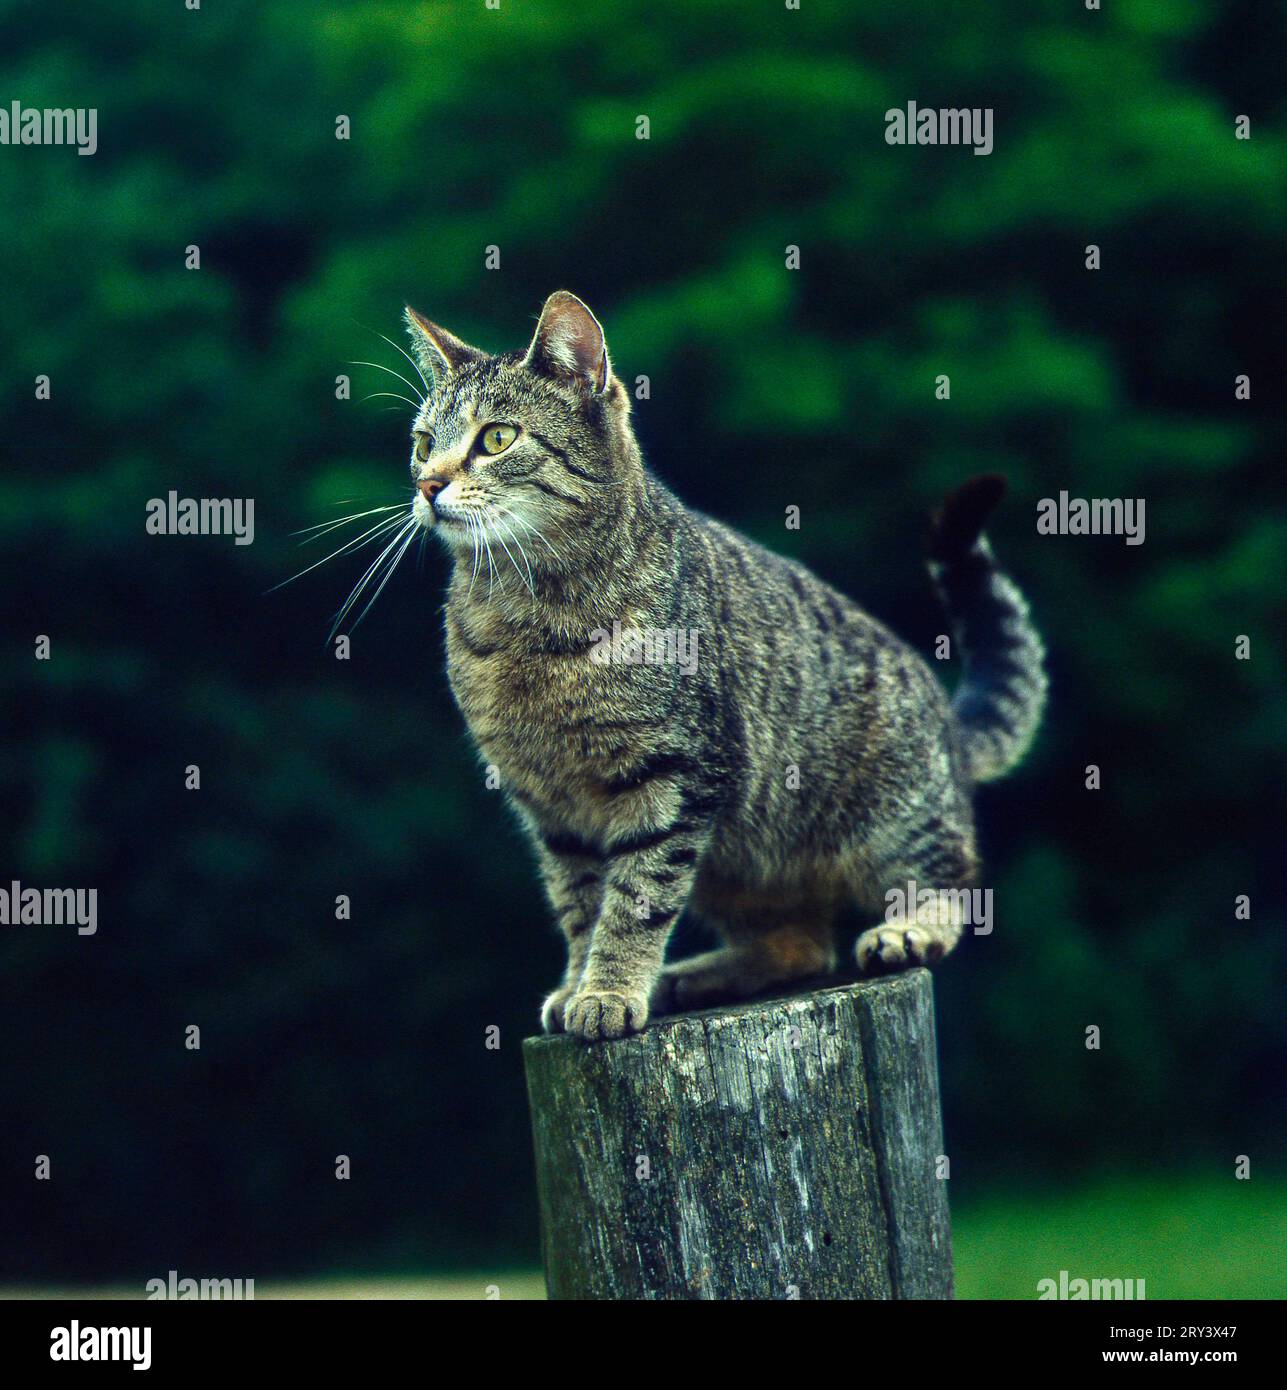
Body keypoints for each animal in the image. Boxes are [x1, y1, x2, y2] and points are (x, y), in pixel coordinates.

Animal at [400, 287, 1045, 1039]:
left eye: (496, 438)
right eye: (422, 443)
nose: (426, 484)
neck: (524, 606)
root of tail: (948, 721)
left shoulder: (675, 775)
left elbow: (635, 898)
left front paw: (607, 989)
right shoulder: (552, 808)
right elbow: (580, 905)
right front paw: (579, 983)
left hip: (895, 820)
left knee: (949, 881)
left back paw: (909, 930)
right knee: (800, 945)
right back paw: (689, 978)